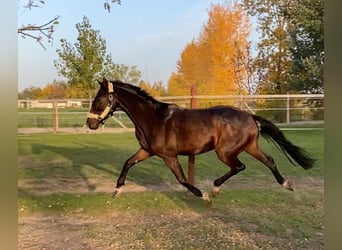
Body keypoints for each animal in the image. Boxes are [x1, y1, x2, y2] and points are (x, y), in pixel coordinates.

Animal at [85, 78, 316, 201]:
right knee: (270, 160)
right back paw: (286, 184)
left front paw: (202, 195)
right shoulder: (147, 151)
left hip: (225, 152)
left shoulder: (169, 156)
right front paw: (116, 190)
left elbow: (182, 179)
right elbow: (127, 163)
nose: (90, 123)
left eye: (98, 99)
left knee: (239, 167)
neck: (153, 118)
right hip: (250, 147)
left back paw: (214, 189)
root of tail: (250, 116)